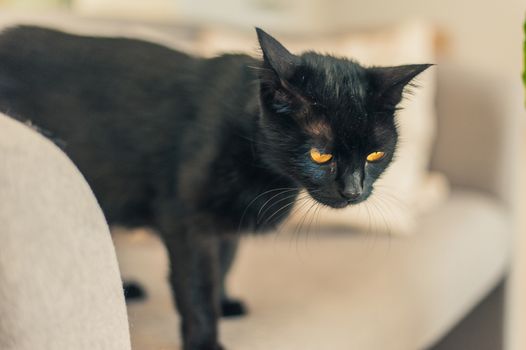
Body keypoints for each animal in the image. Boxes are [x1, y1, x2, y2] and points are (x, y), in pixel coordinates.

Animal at [0, 26, 432, 348]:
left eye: (375, 155)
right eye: (321, 155)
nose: (353, 191)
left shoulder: (227, 223)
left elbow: (224, 263)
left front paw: (224, 302)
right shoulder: (188, 222)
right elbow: (196, 287)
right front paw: (205, 341)